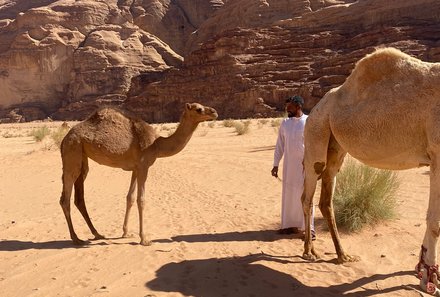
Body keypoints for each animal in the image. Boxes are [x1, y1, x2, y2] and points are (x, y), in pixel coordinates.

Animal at [59, 102, 217, 245]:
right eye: (199, 109)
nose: (214, 112)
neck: (157, 144)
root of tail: (63, 140)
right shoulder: (143, 166)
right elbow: (141, 200)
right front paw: (144, 239)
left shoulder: (135, 168)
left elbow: (130, 198)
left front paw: (126, 232)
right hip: (72, 150)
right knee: (65, 198)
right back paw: (76, 238)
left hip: (82, 157)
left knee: (79, 197)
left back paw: (97, 234)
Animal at [300, 46, 440, 294]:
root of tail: (315, 107)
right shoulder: (437, 150)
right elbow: (435, 220)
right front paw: (429, 279)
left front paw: (422, 270)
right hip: (316, 131)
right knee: (307, 194)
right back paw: (310, 252)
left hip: (335, 144)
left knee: (326, 199)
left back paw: (342, 255)